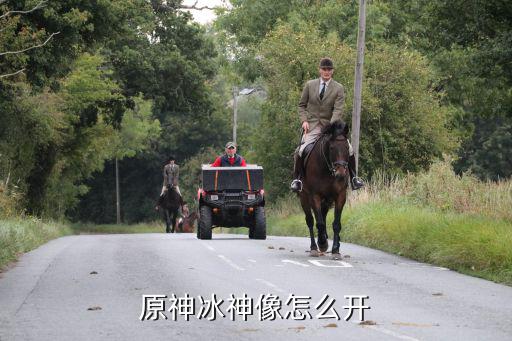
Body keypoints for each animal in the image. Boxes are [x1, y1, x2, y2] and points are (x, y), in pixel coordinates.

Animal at [298, 119, 350, 258]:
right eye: (332, 148)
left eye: (347, 147)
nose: (341, 174)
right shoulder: (314, 195)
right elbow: (319, 222)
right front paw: (322, 244)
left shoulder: (340, 195)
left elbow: (336, 223)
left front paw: (336, 249)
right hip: (304, 197)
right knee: (310, 221)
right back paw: (314, 247)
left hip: (327, 200)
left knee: (323, 215)